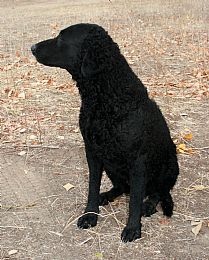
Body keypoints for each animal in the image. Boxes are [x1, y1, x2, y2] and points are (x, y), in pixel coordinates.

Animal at [31, 23, 180, 243]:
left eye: (62, 38)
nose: (32, 47)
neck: (105, 98)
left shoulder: (138, 159)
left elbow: (135, 199)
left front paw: (133, 228)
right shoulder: (92, 151)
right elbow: (93, 187)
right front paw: (90, 215)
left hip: (169, 166)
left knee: (157, 192)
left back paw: (148, 205)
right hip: (112, 166)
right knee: (122, 187)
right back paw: (107, 195)